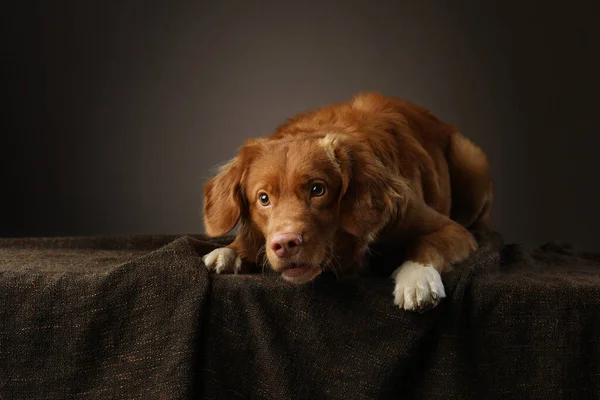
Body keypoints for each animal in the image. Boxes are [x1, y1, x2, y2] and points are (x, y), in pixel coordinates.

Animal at [202, 93, 492, 312]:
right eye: (263, 198)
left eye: (317, 190)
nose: (285, 244)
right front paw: (231, 251)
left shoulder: (450, 229)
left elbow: (427, 243)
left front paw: (417, 278)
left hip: (472, 158)